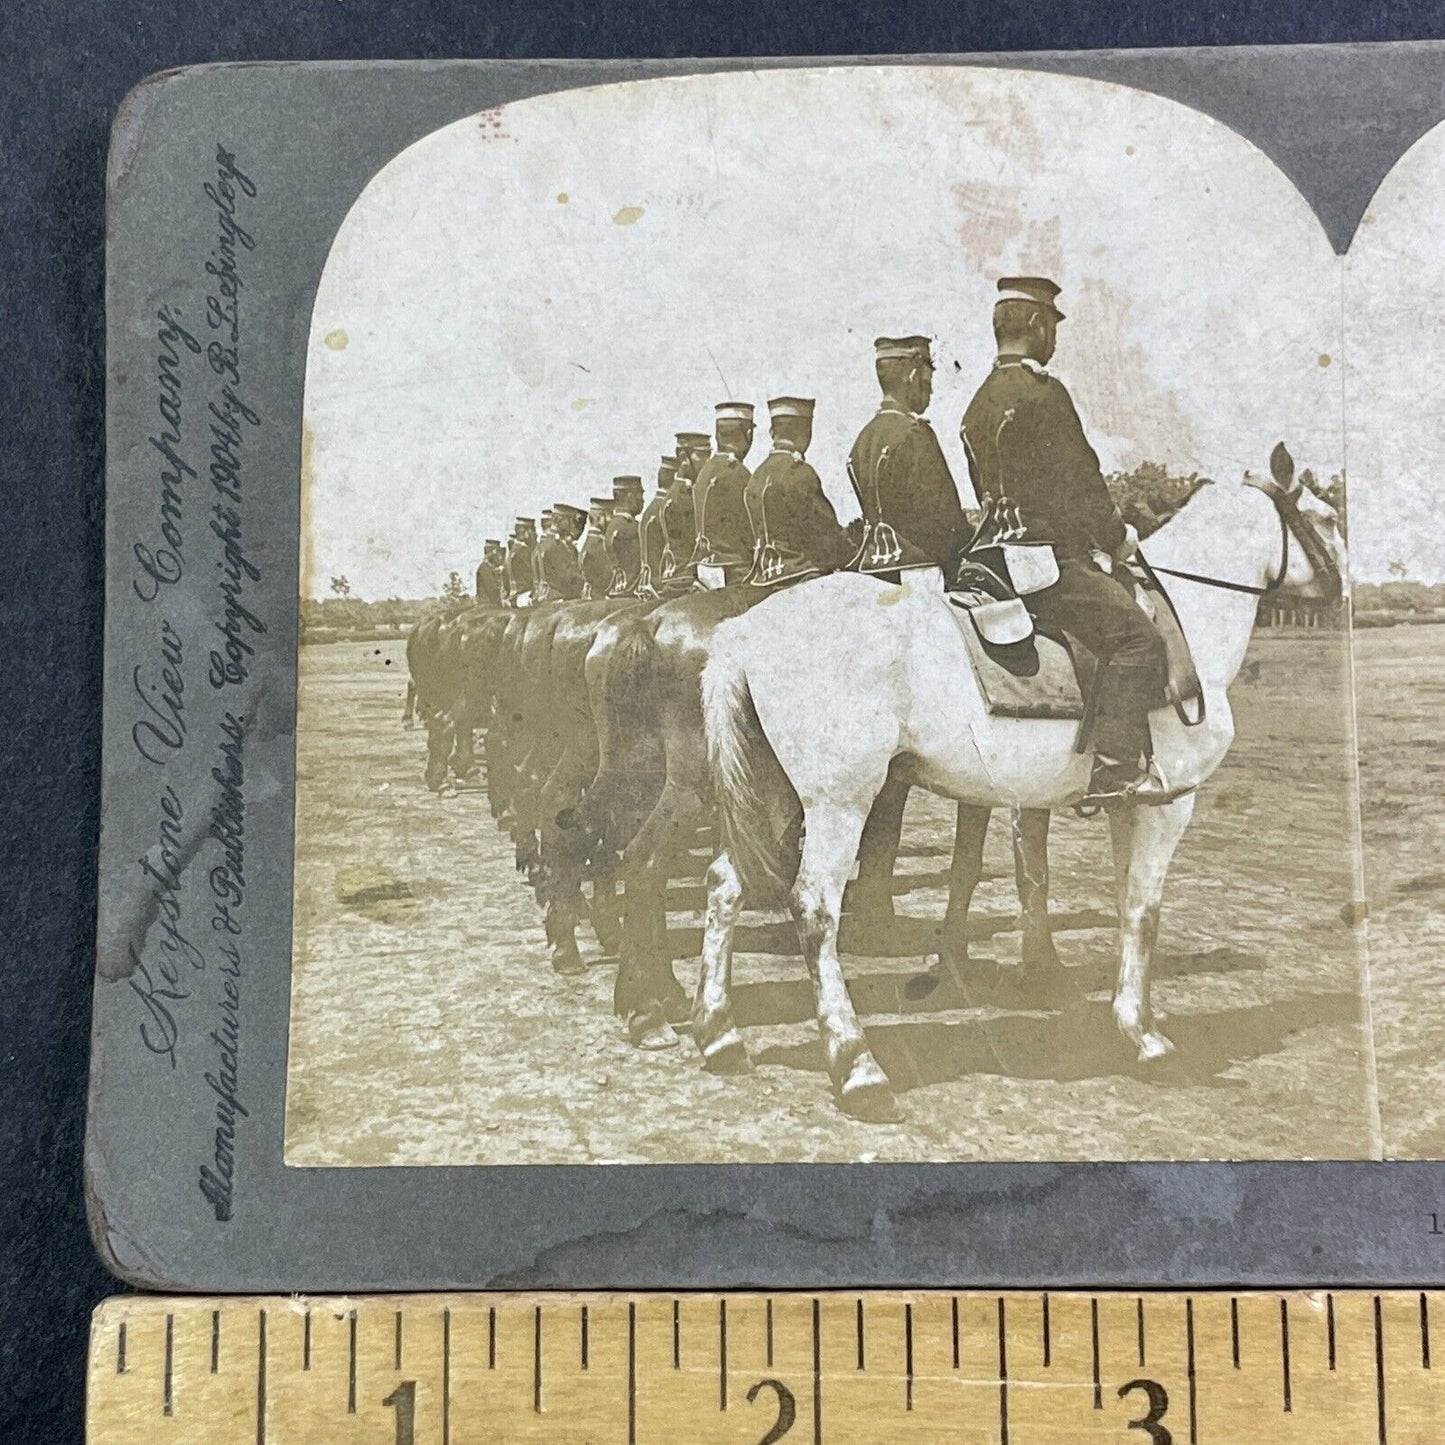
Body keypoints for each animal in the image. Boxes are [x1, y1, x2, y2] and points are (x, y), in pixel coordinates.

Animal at [693, 445, 1346, 1121]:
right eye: (1326, 517)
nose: (1344, 591)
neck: (1186, 623)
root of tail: (746, 630)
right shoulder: (1168, 807)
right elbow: (1144, 912)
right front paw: (1147, 1039)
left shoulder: (1128, 805)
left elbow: (1122, 907)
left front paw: (1125, 1021)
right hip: (838, 802)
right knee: (816, 909)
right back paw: (856, 1067)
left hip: (776, 798)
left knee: (724, 885)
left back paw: (720, 1035)